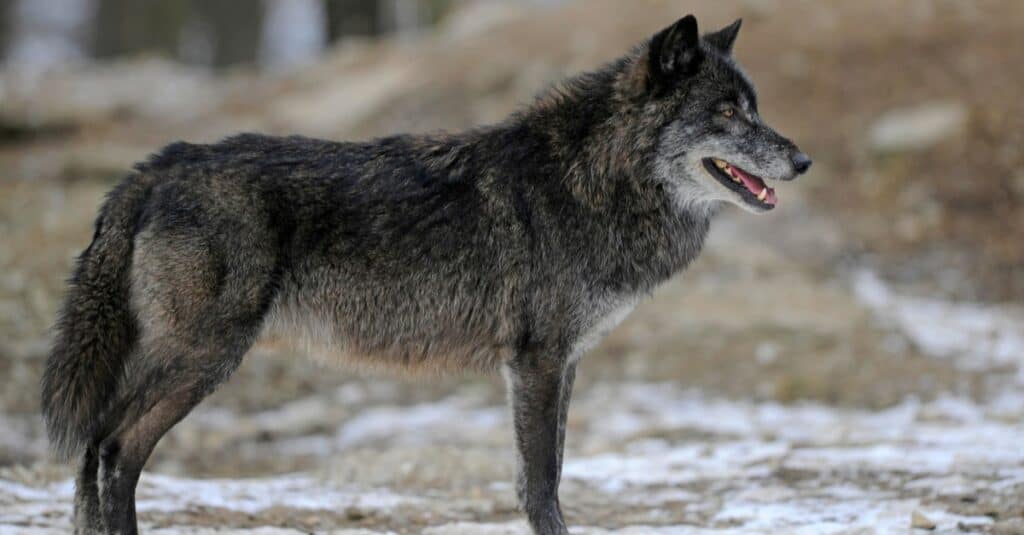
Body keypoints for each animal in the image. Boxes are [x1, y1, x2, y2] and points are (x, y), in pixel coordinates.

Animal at [42, 14, 809, 534]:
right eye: (728, 111)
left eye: (755, 106)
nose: (802, 160)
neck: (593, 179)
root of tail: (157, 165)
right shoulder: (536, 361)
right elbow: (542, 481)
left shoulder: (561, 363)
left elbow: (549, 470)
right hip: (205, 357)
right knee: (116, 447)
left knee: (93, 447)